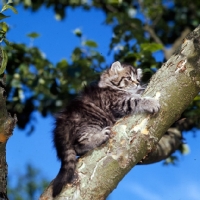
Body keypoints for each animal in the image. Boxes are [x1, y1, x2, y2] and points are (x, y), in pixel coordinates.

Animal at [52, 61, 160, 197]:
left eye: (138, 79)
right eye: (128, 78)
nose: (137, 83)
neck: (112, 88)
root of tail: (61, 123)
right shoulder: (117, 103)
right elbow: (135, 100)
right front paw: (150, 102)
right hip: (92, 121)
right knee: (79, 143)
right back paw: (101, 136)